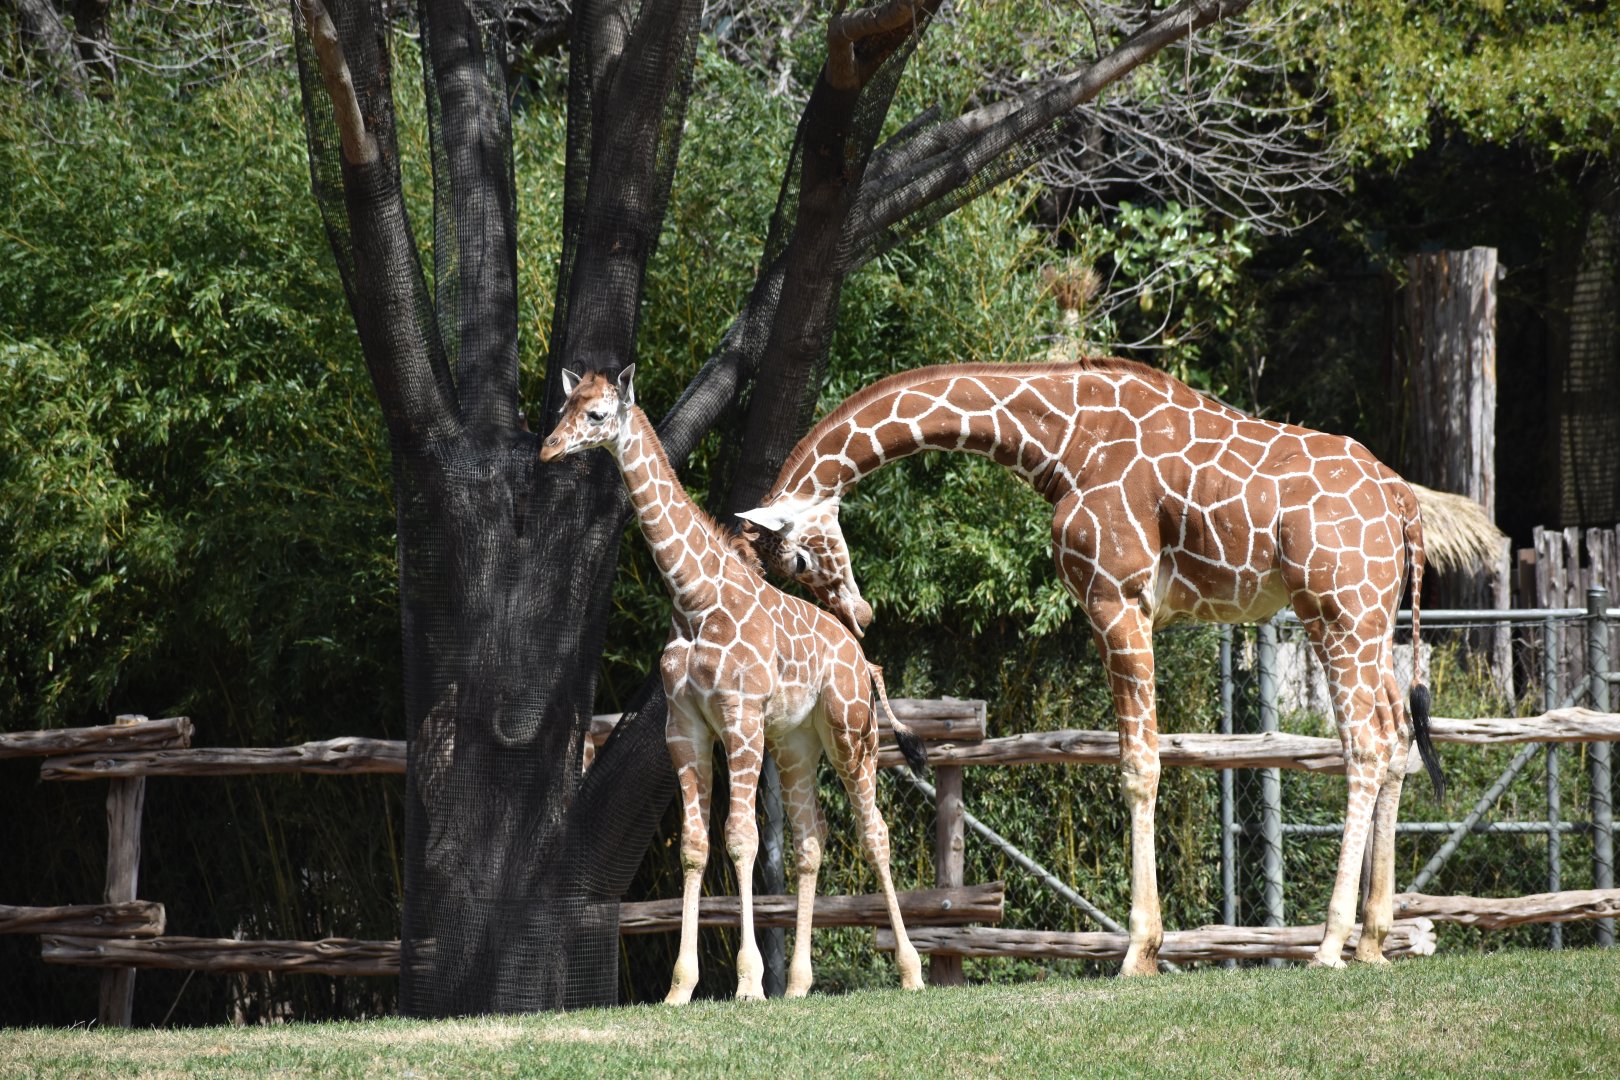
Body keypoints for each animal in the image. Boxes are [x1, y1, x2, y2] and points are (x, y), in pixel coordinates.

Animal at [540, 366, 928, 1003]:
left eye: (596, 414)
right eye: (564, 407)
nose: (548, 448)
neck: (693, 599)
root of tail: (860, 654)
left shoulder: (741, 717)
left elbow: (742, 837)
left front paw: (747, 983)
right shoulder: (685, 727)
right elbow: (696, 847)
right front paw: (680, 987)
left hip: (852, 730)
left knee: (875, 832)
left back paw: (911, 971)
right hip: (797, 742)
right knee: (811, 839)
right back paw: (797, 984)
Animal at [737, 359, 1447, 974]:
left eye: (795, 560)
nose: (859, 612)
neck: (1061, 442)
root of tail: (1403, 500)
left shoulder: (1116, 597)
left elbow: (1139, 764)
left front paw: (1140, 953)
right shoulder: (1125, 604)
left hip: (1337, 610)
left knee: (1363, 743)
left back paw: (1329, 945)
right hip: (1372, 620)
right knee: (1394, 735)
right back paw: (1374, 939)